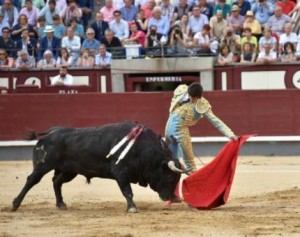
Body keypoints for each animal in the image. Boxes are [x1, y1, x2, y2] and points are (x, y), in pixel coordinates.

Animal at [12, 122, 185, 213]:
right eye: (170, 176)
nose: (174, 198)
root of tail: (50, 132)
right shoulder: (121, 173)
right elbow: (128, 191)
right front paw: (132, 208)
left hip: (69, 171)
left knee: (56, 181)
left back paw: (61, 204)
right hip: (43, 165)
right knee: (32, 180)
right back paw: (15, 204)